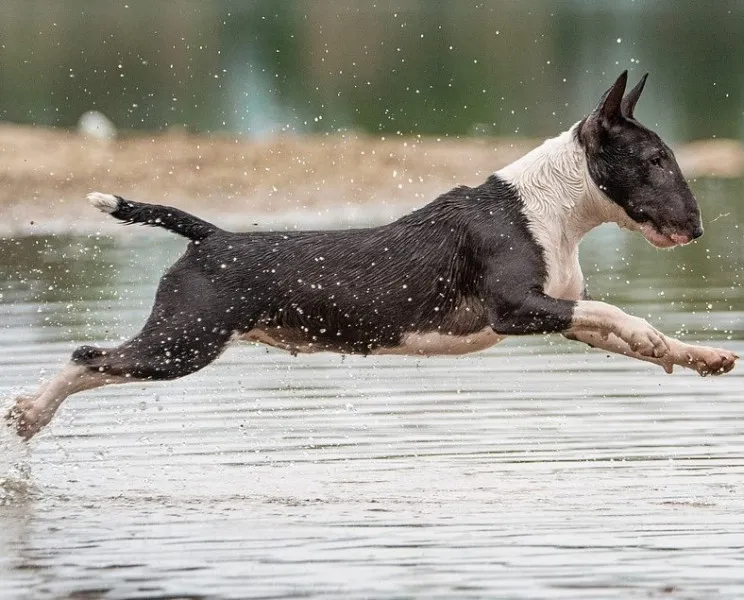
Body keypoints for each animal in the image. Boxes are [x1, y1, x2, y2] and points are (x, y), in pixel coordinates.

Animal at [7, 70, 737, 440]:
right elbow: (617, 312)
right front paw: (671, 346)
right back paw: (30, 413)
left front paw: (697, 356)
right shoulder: (514, 309)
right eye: (655, 159)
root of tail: (209, 237)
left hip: (182, 341)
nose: (697, 229)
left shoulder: (558, 309)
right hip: (184, 340)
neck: (547, 205)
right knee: (88, 357)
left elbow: (622, 327)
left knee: (98, 361)